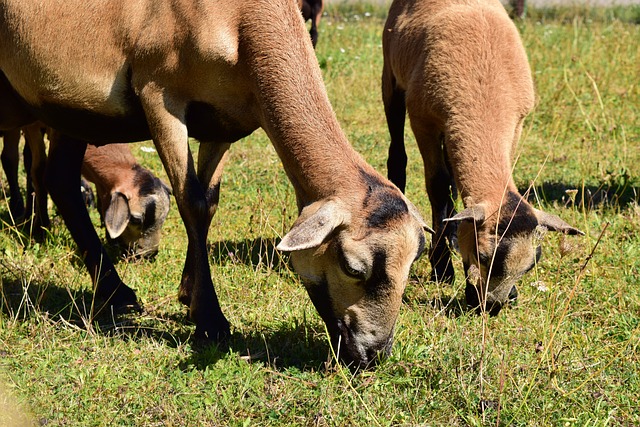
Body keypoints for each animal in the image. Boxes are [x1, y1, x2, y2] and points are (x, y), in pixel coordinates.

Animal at [382, 0, 584, 314]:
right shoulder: (424, 120)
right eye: (483, 255)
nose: (493, 306)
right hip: (390, 77)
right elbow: (437, 187)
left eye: (532, 264)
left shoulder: (515, 125)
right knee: (398, 156)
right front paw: (442, 269)